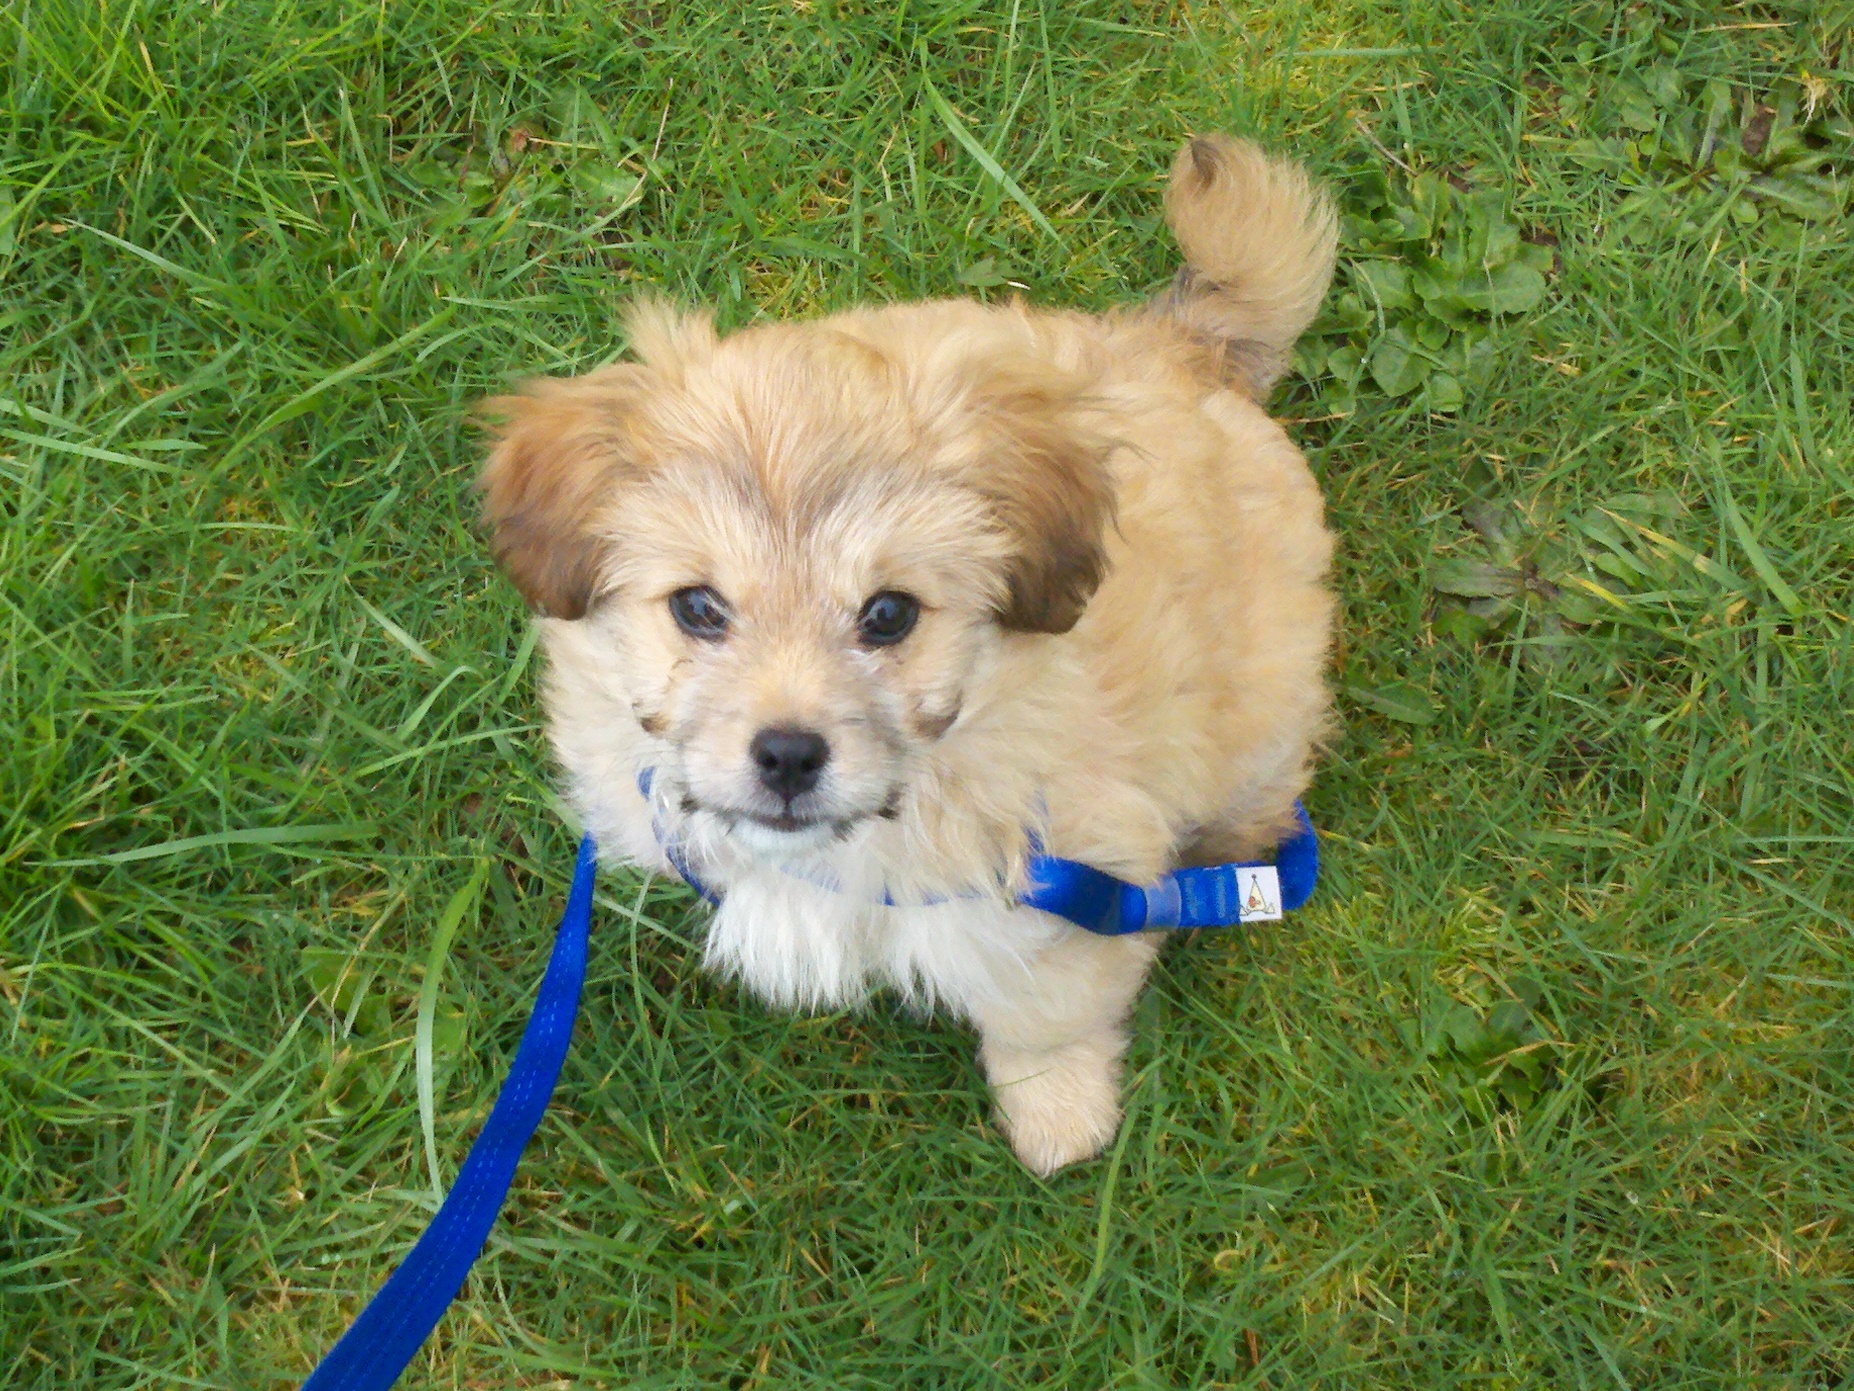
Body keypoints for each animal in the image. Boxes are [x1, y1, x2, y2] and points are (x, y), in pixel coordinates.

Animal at [478, 136, 1342, 1179]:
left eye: (888, 614)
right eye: (698, 607)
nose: (788, 755)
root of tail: (1180, 348)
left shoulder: (1073, 879)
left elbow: (1047, 1009)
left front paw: (1057, 1111)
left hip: (1265, 699)